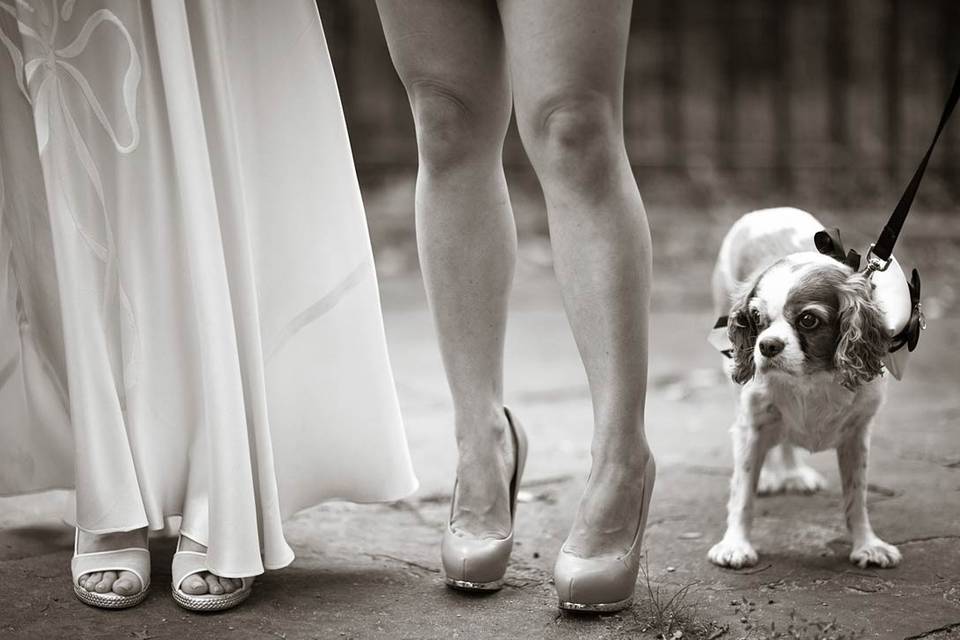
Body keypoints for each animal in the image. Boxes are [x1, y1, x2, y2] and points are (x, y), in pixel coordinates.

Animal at [704, 208, 900, 568]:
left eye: (808, 320)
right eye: (756, 317)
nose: (766, 346)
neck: (811, 377)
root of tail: (766, 211)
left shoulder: (856, 435)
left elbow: (857, 496)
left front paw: (867, 544)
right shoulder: (752, 425)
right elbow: (742, 494)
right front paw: (735, 544)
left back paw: (793, 473)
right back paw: (773, 476)